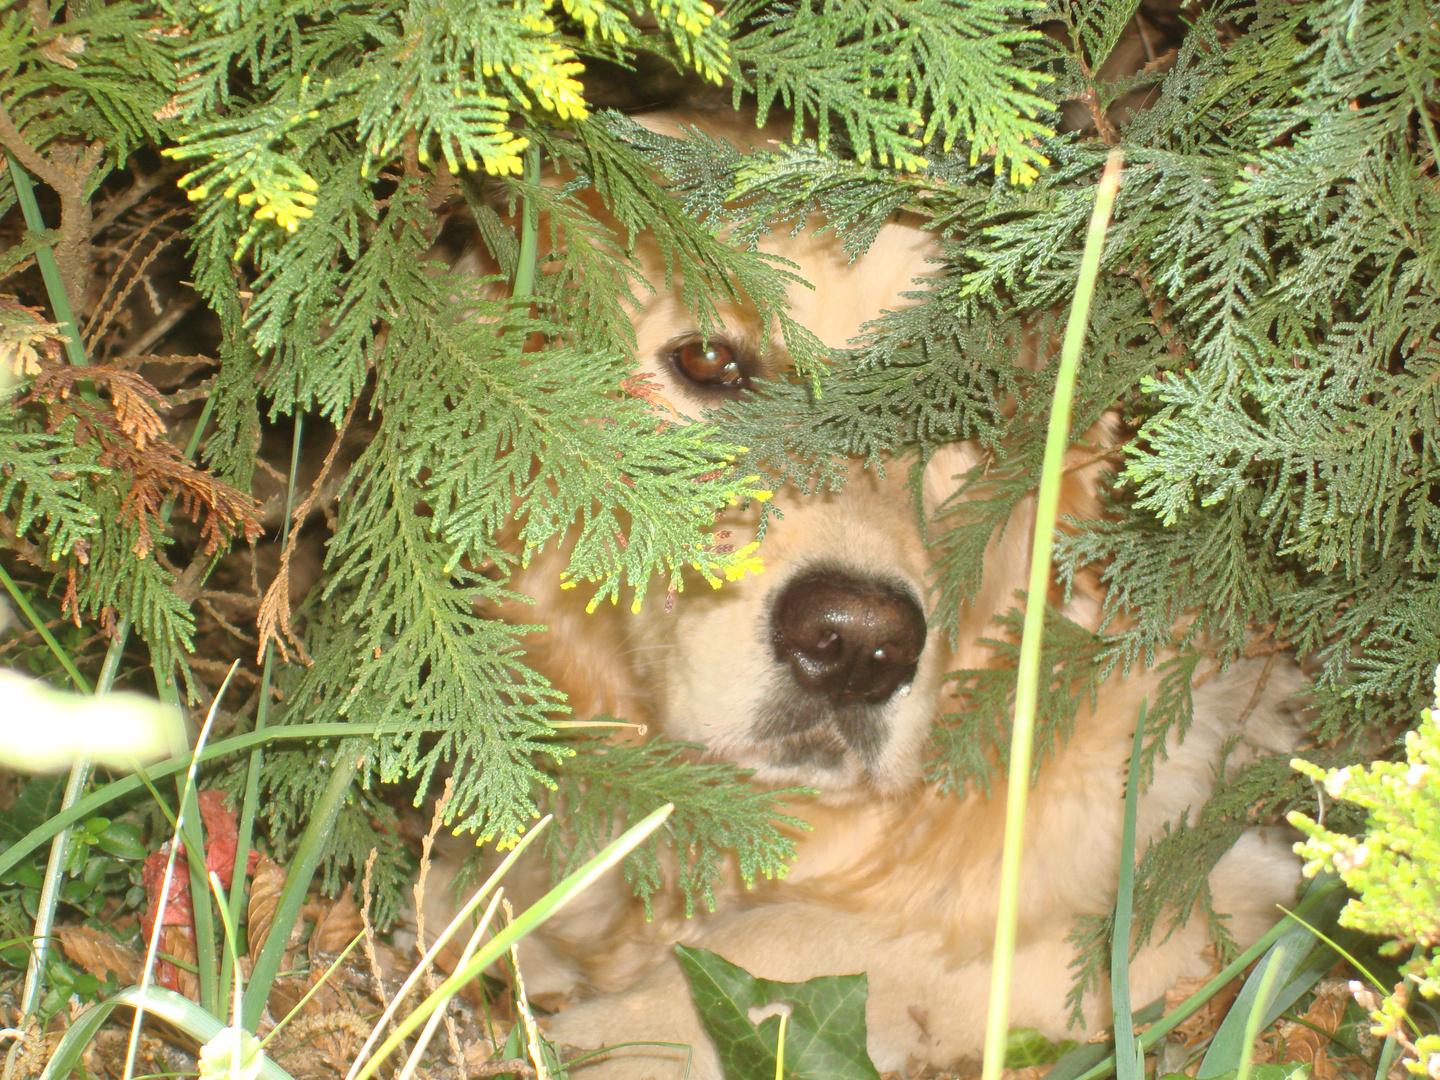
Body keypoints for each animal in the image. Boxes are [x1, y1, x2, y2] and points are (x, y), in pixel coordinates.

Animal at [437, 112, 1307, 1080]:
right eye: (708, 359)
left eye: (960, 411)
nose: (857, 645)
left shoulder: (1204, 884)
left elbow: (799, 942)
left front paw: (612, 1029)